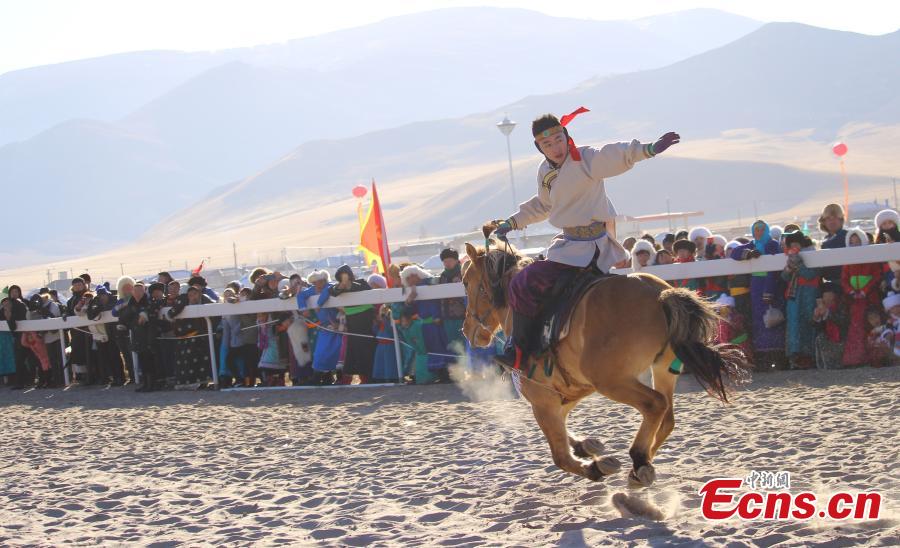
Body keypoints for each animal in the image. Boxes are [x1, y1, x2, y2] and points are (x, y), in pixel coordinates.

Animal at [460, 238, 748, 486]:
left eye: (465, 282)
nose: (467, 330)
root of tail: (659, 294)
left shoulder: (542, 399)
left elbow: (560, 456)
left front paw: (595, 466)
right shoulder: (571, 389)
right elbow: (565, 429)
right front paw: (584, 446)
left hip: (613, 382)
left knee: (655, 404)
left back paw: (639, 459)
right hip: (662, 370)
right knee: (667, 417)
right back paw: (640, 466)